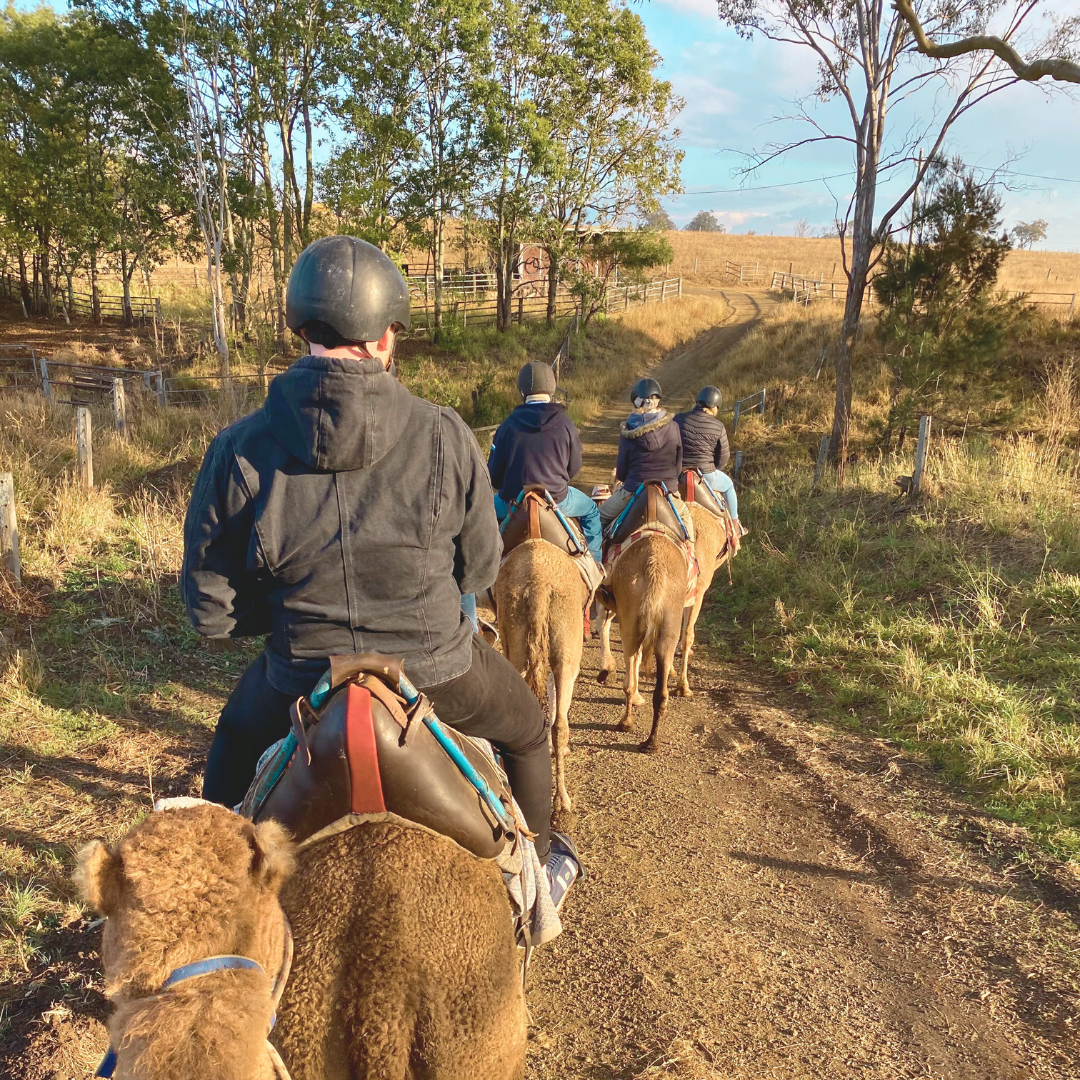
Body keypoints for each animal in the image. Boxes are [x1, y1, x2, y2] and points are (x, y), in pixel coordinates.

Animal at [596, 532, 688, 753]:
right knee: (660, 689)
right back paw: (650, 742)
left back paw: (626, 723)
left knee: (631, 676)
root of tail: (656, 570)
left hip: (630, 626)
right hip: (666, 628)